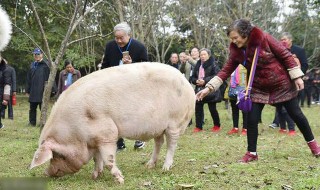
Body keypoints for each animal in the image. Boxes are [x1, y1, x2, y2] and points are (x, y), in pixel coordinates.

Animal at [29, 62, 195, 184]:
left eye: (58, 155)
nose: (47, 173)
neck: (74, 131)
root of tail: (186, 82)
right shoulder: (95, 139)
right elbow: (97, 158)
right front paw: (95, 176)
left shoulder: (107, 133)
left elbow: (108, 159)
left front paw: (120, 180)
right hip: (158, 127)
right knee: (159, 142)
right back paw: (149, 165)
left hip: (175, 122)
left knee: (172, 144)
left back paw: (165, 168)